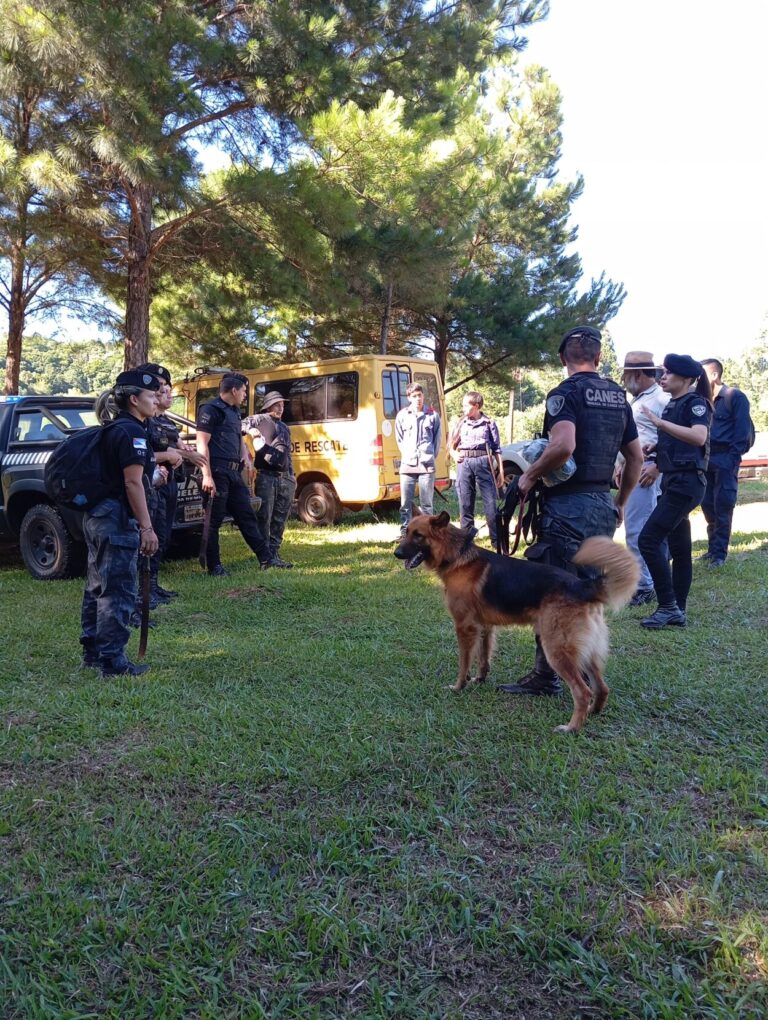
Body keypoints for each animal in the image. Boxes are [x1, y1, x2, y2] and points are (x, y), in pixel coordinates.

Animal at [391, 510, 636, 734]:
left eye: (419, 536)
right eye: (406, 532)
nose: (397, 553)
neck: (457, 555)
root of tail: (582, 585)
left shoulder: (464, 627)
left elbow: (464, 663)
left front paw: (459, 686)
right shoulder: (485, 627)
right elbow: (483, 658)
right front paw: (479, 679)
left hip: (556, 650)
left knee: (583, 692)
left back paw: (572, 728)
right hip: (584, 652)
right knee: (602, 687)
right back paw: (593, 713)